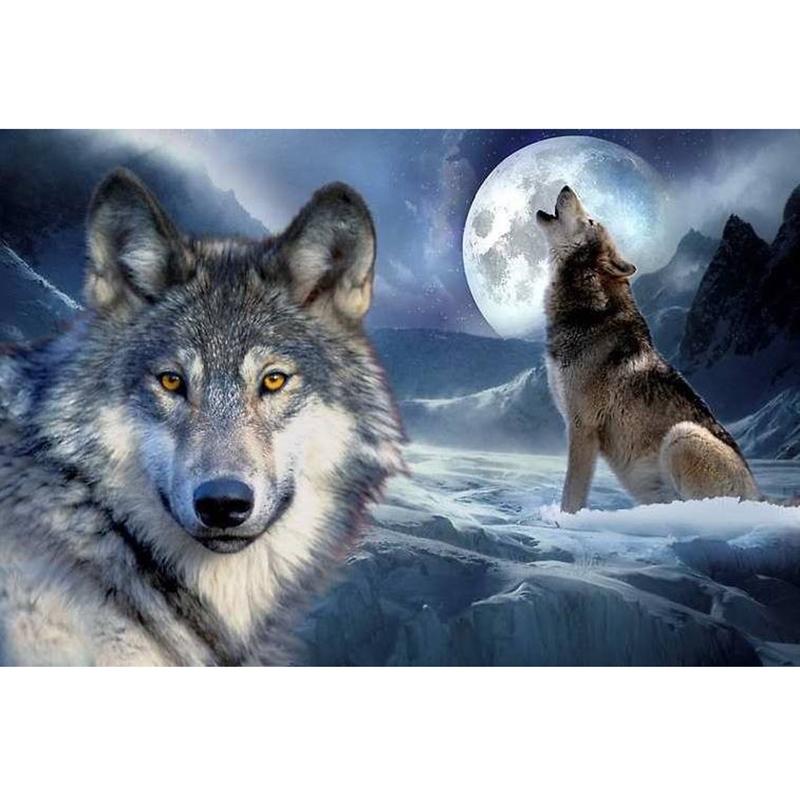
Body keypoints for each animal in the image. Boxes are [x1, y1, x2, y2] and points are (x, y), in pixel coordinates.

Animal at [537, 185, 759, 513]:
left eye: (590, 221)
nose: (566, 187)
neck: (587, 313)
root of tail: (761, 496)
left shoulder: (582, 428)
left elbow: (571, 495)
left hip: (682, 435)